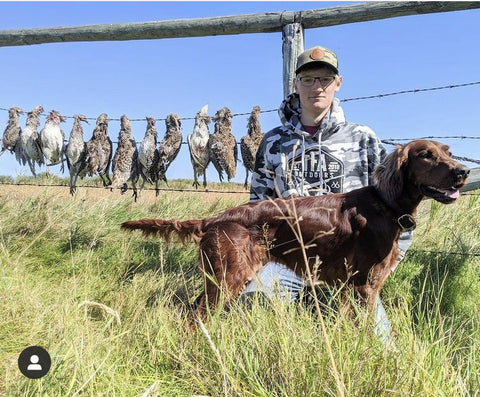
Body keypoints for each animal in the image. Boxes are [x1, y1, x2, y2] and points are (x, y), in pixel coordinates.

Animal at [121, 139, 468, 318]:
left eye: (449, 152)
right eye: (426, 155)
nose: (463, 171)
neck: (385, 203)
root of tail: (215, 219)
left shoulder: (350, 289)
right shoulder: (363, 286)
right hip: (228, 278)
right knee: (196, 317)